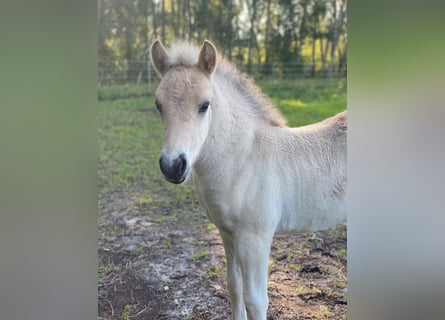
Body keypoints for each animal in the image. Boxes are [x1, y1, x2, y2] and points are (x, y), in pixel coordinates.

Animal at [151, 40, 346, 320]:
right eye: (158, 105)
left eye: (205, 105)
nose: (173, 166)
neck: (244, 159)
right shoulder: (227, 233)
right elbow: (234, 285)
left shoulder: (255, 238)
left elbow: (255, 300)